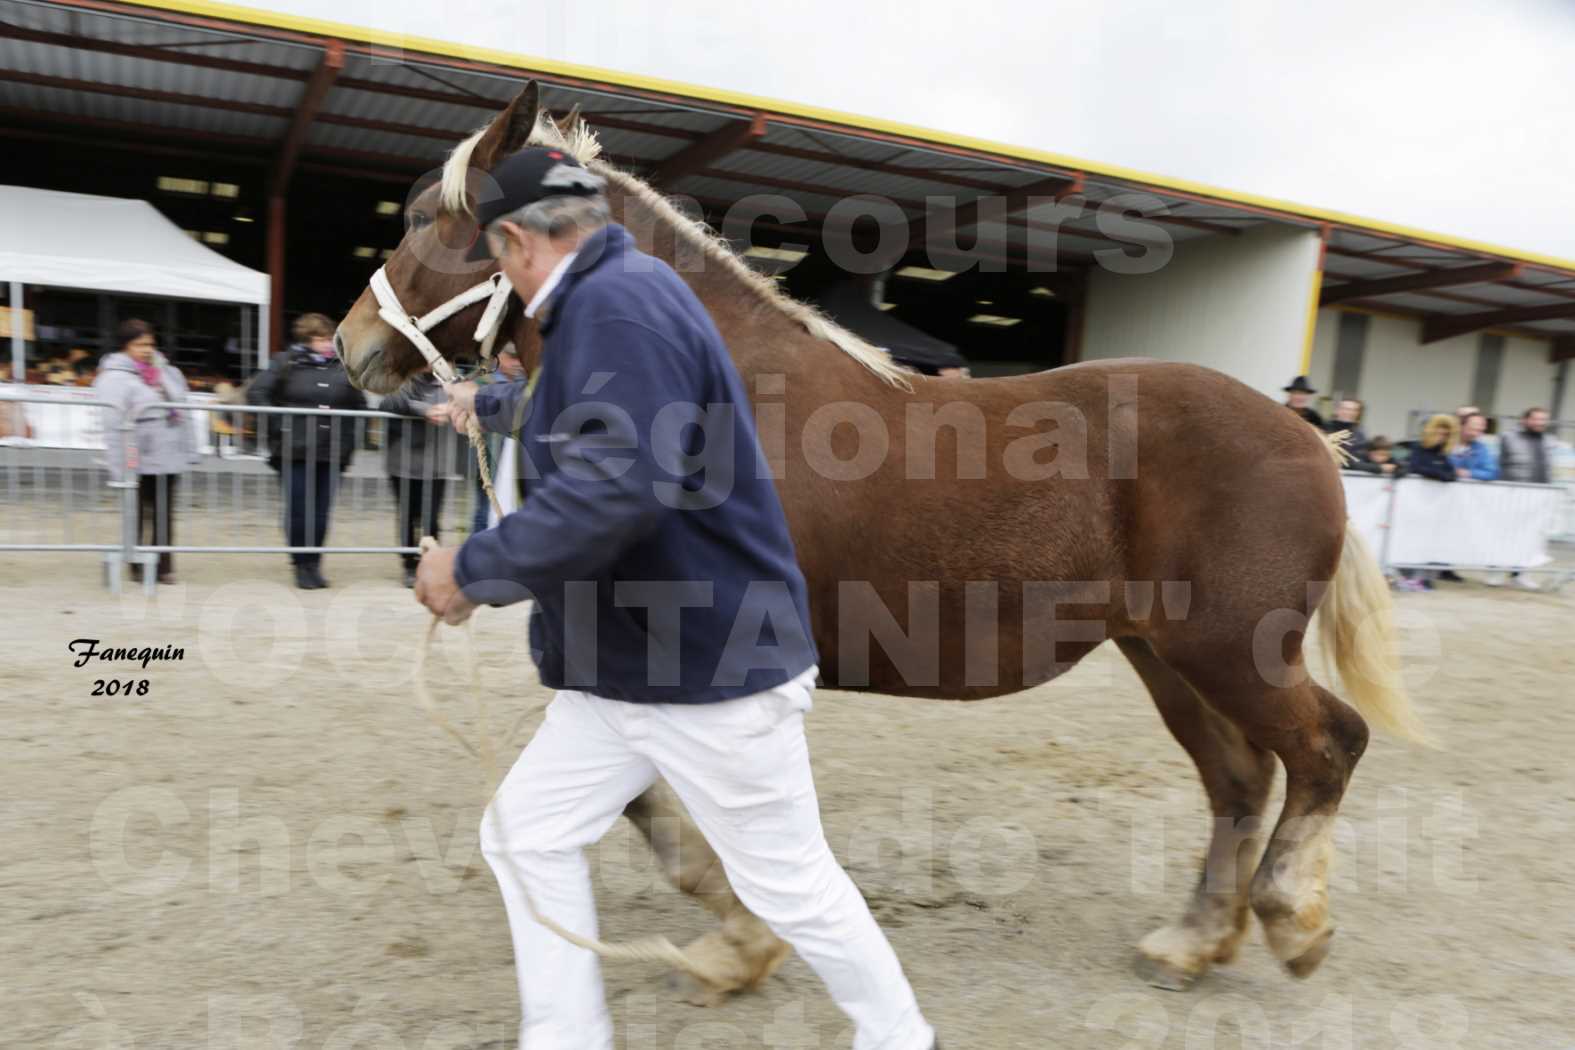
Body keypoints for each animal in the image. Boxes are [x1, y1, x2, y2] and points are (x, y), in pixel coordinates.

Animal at [335, 86, 1430, 1001]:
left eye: (428, 218)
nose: (349, 347)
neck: (718, 384)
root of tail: (1311, 436)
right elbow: (660, 808)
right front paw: (739, 941)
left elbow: (685, 818)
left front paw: (741, 940)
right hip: (1164, 653)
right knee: (1241, 778)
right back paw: (1194, 941)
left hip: (1230, 648)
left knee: (1327, 747)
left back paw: (1290, 923)